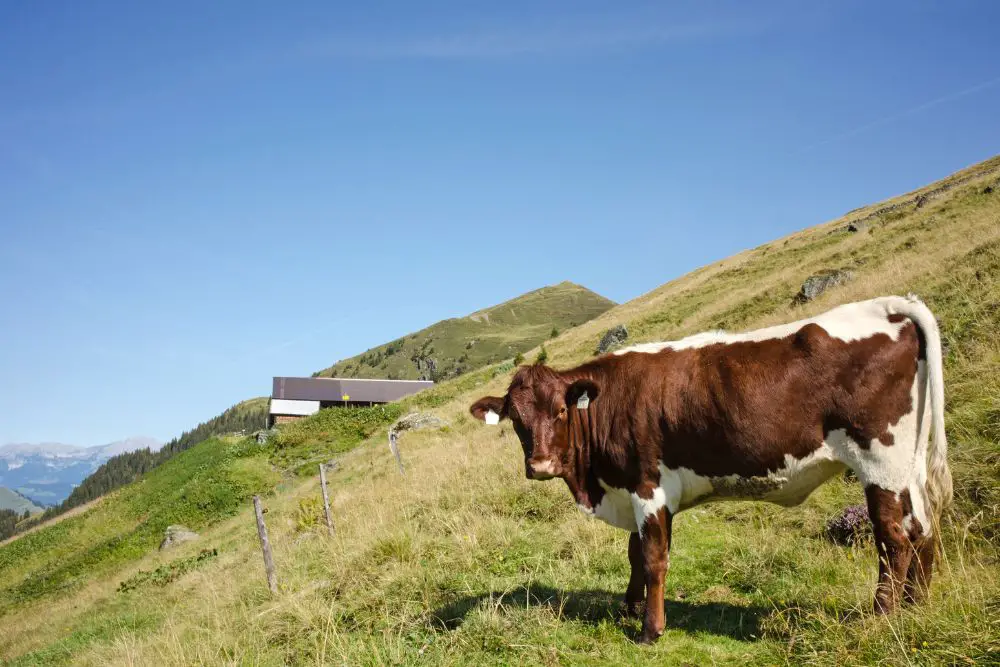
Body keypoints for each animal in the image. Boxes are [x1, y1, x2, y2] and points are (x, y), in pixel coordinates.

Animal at [468, 294, 952, 644]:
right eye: (517, 420)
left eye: (560, 411)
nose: (540, 464)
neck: (598, 485)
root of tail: (890, 305)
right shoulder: (635, 488)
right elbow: (633, 554)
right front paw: (629, 608)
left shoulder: (648, 486)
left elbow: (653, 557)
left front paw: (650, 630)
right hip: (907, 465)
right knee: (923, 529)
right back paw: (916, 608)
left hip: (879, 460)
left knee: (893, 539)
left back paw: (882, 617)